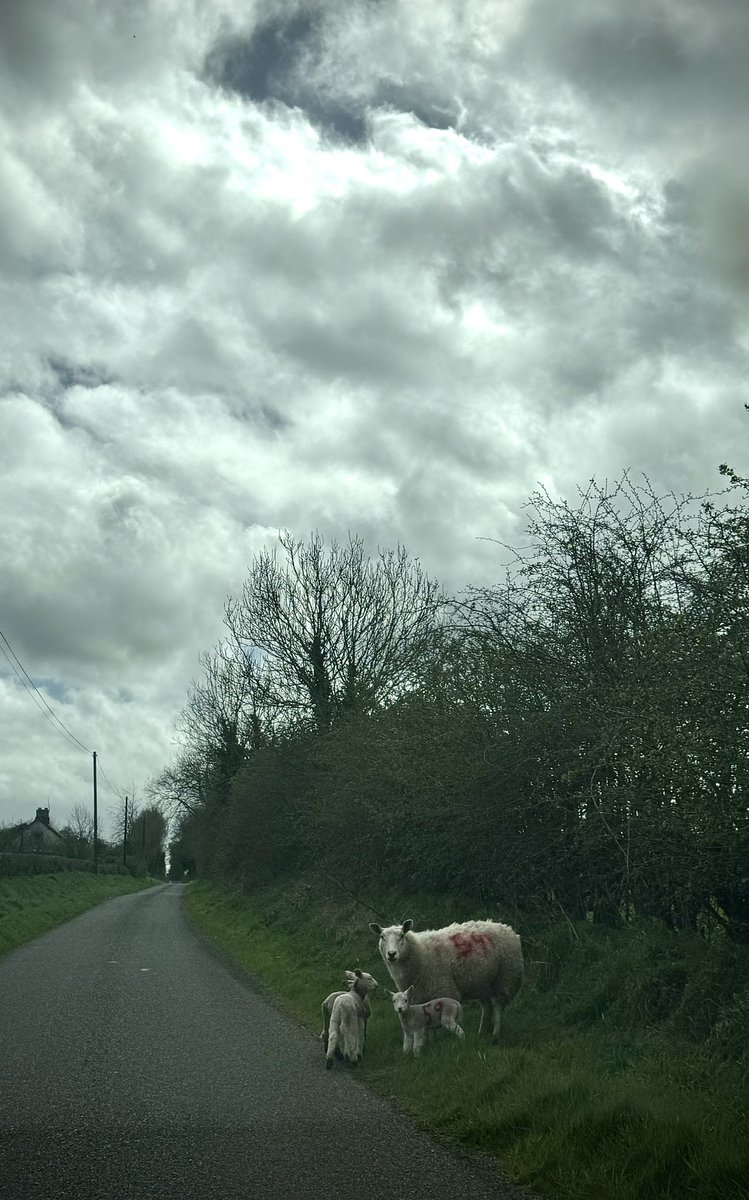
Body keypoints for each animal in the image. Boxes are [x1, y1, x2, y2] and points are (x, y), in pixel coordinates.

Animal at [369, 916, 523, 1041]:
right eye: (382, 936)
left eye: (401, 935)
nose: (391, 954)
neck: (420, 953)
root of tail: (507, 928)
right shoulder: (420, 996)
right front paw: (431, 1040)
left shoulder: (444, 990)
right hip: (482, 983)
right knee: (487, 1008)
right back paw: (481, 1032)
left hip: (506, 978)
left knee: (498, 1007)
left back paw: (495, 1034)